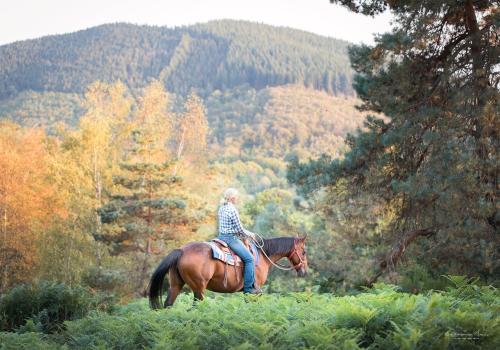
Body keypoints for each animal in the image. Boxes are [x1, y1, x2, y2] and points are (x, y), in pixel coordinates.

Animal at [146, 235, 306, 308]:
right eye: (304, 252)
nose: (304, 271)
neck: (262, 255)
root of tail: (181, 250)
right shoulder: (255, 291)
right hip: (198, 289)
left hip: (176, 285)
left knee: (168, 304)